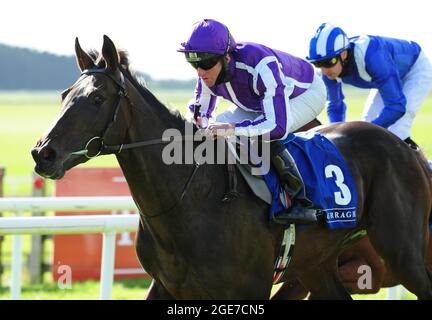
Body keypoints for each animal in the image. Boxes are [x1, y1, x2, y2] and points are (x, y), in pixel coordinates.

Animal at [31, 36, 432, 298]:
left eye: (98, 98)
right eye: (65, 94)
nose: (42, 153)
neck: (188, 200)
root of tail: (404, 147)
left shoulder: (249, 287)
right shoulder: (166, 286)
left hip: (402, 251)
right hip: (316, 264)